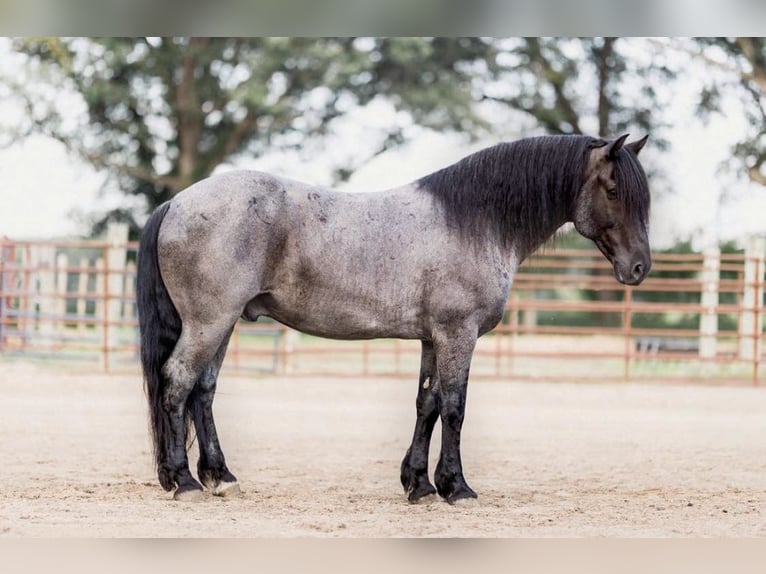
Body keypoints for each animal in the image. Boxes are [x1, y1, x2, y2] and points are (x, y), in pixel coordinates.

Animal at [138, 134, 656, 504]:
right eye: (614, 190)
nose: (639, 268)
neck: (475, 221)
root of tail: (176, 203)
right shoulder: (458, 335)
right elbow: (455, 407)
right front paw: (456, 487)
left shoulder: (433, 339)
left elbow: (427, 404)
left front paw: (419, 484)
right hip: (209, 322)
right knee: (177, 383)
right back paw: (184, 482)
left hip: (221, 324)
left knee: (202, 391)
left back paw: (220, 477)